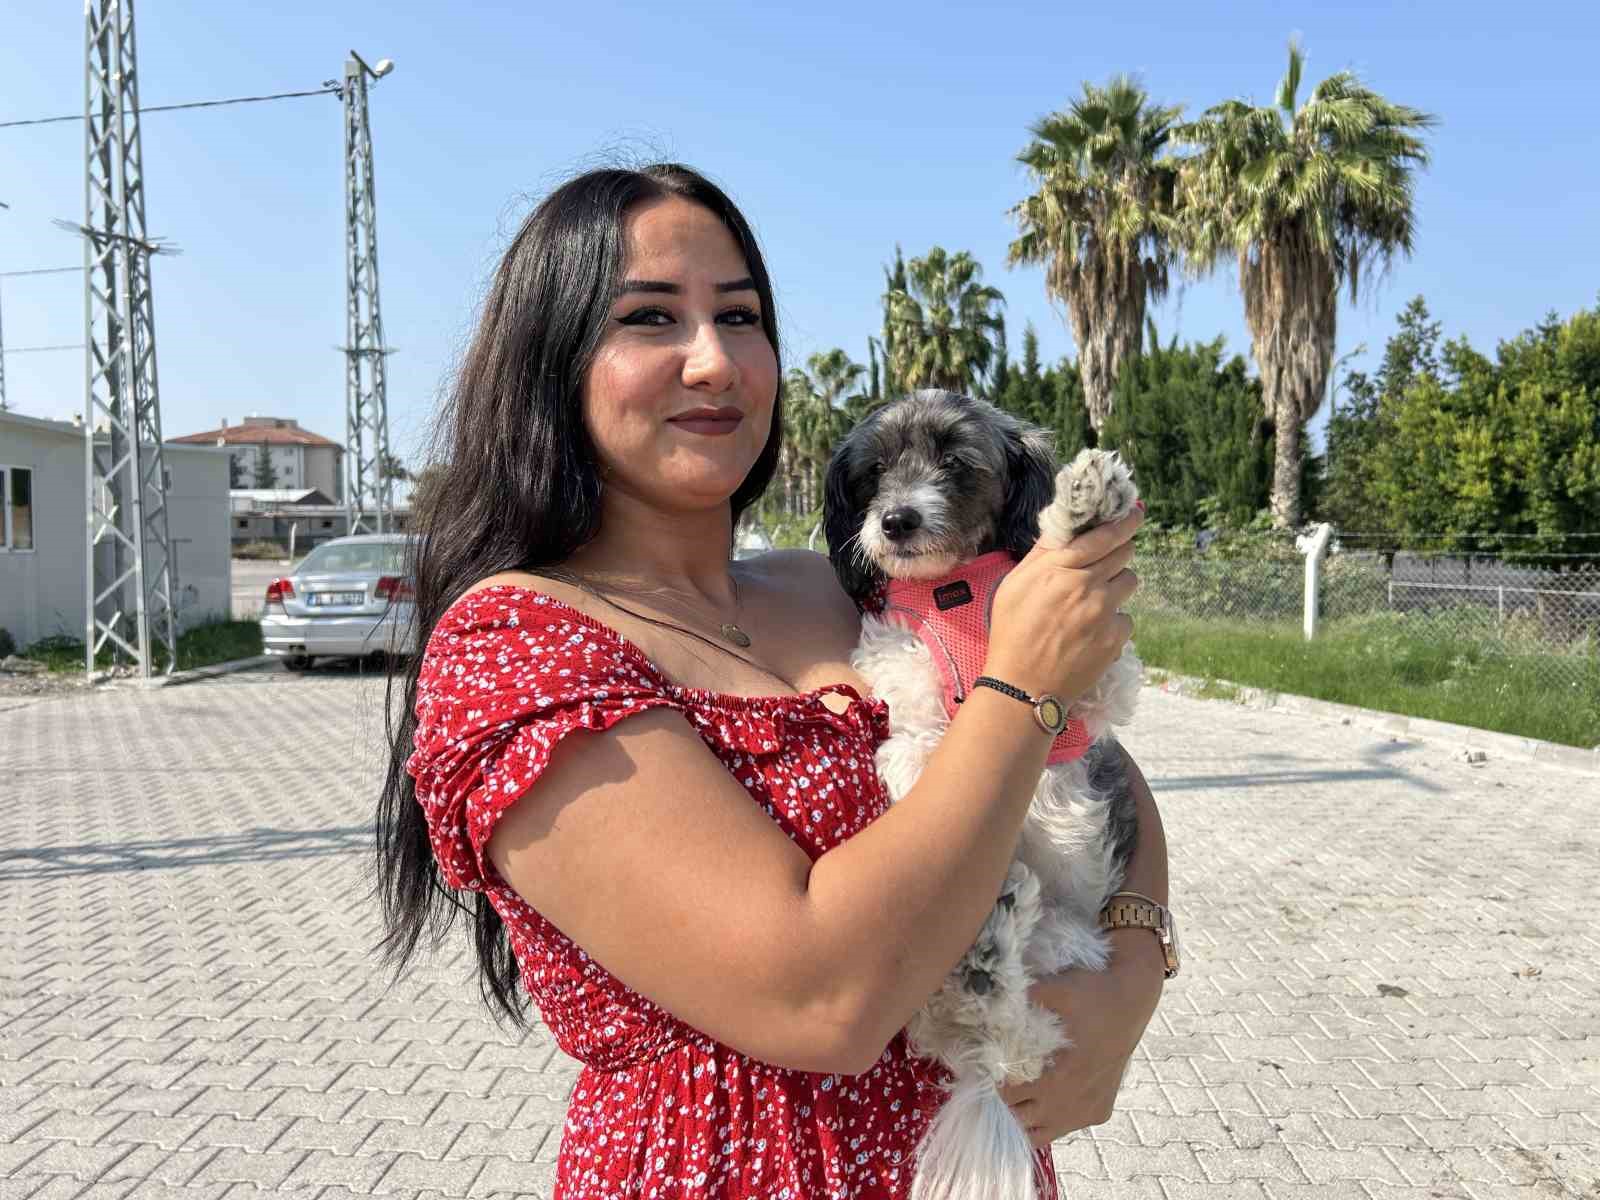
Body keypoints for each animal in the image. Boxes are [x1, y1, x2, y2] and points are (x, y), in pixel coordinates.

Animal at [825, 392, 1152, 1200]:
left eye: (955, 461)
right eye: (873, 472)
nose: (896, 520)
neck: (957, 593)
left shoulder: (1100, 693)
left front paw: (1087, 508)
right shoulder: (903, 670)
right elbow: (916, 737)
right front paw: (919, 772)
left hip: (1071, 954)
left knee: (1019, 1042)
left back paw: (989, 951)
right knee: (998, 1039)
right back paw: (985, 953)